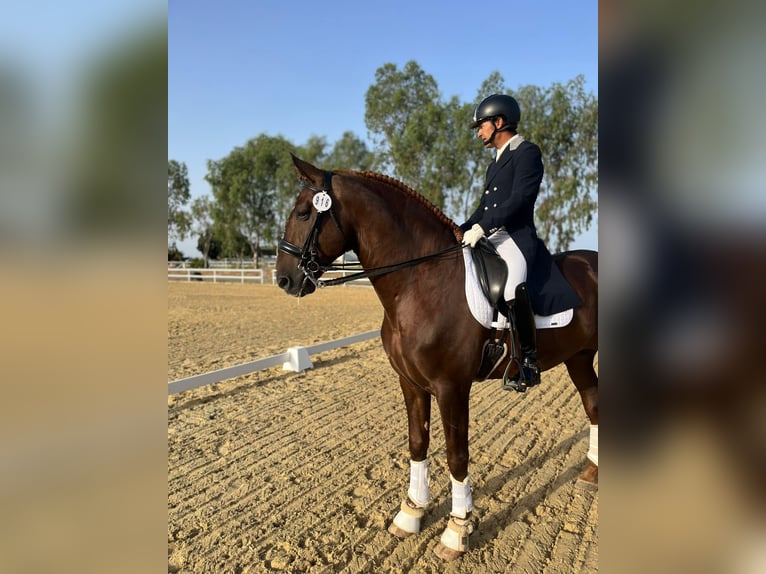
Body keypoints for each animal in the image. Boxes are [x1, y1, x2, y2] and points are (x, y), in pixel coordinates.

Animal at [276, 155, 600, 560]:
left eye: (304, 213)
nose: (284, 279)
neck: (421, 281)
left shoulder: (451, 387)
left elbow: (456, 455)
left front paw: (457, 530)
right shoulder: (411, 383)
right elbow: (418, 443)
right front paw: (411, 514)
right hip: (580, 357)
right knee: (593, 403)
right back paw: (592, 473)